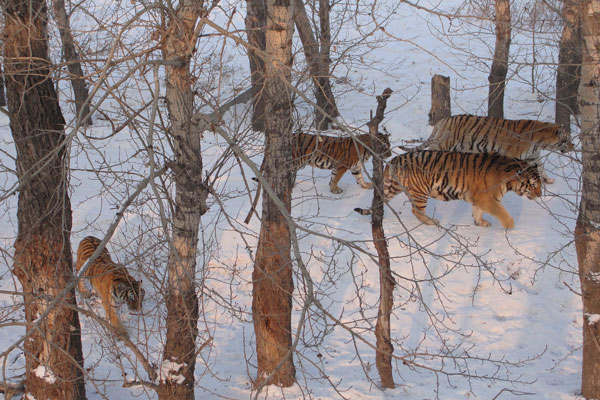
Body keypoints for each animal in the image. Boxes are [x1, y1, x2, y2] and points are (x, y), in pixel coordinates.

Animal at [354, 151, 548, 228]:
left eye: (539, 184)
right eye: (533, 184)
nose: (540, 194)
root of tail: (394, 160)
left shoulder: (479, 198)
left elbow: (477, 211)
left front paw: (481, 223)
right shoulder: (488, 199)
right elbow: (502, 212)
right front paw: (510, 226)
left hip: (395, 188)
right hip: (420, 191)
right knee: (416, 210)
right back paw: (431, 222)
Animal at [396, 114, 576, 184]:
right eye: (567, 139)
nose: (574, 147)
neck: (540, 141)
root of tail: (443, 120)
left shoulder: (534, 156)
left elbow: (541, 167)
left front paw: (548, 180)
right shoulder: (516, 155)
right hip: (443, 144)